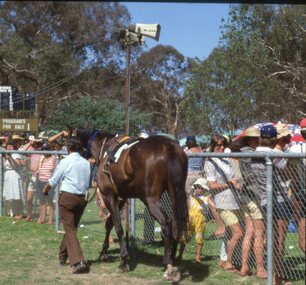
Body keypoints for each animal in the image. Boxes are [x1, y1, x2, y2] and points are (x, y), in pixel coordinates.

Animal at [75, 128, 188, 280]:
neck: (105, 149)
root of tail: (168, 146)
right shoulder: (121, 198)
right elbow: (110, 223)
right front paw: (104, 251)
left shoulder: (110, 196)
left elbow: (118, 227)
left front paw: (123, 261)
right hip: (174, 193)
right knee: (177, 222)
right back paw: (173, 259)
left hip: (150, 199)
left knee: (166, 222)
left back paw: (168, 264)